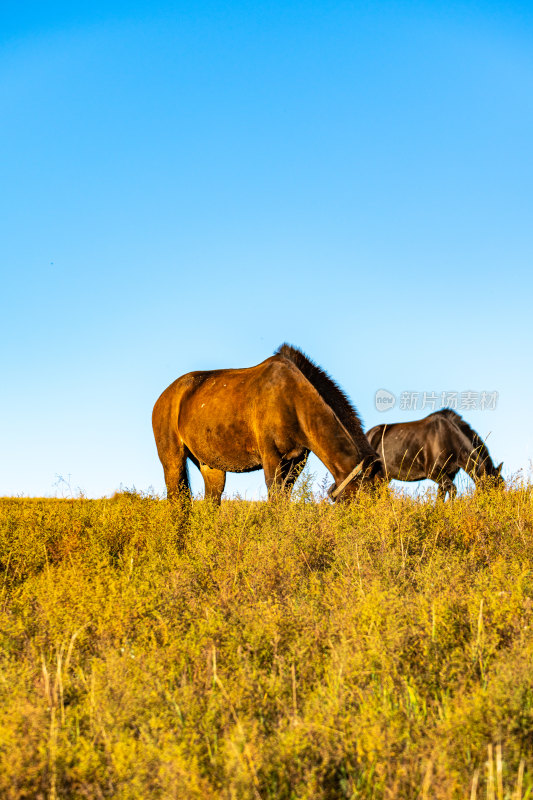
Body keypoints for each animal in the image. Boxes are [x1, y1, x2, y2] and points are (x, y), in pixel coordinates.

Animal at [152, 342, 380, 504]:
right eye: (366, 498)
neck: (292, 399)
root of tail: (164, 396)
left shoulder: (296, 462)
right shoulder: (271, 457)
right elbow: (275, 500)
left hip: (211, 466)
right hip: (173, 461)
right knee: (177, 503)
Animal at [368, 410, 500, 496]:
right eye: (491, 493)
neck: (449, 438)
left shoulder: (449, 475)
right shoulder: (433, 472)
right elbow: (453, 490)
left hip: (383, 477)